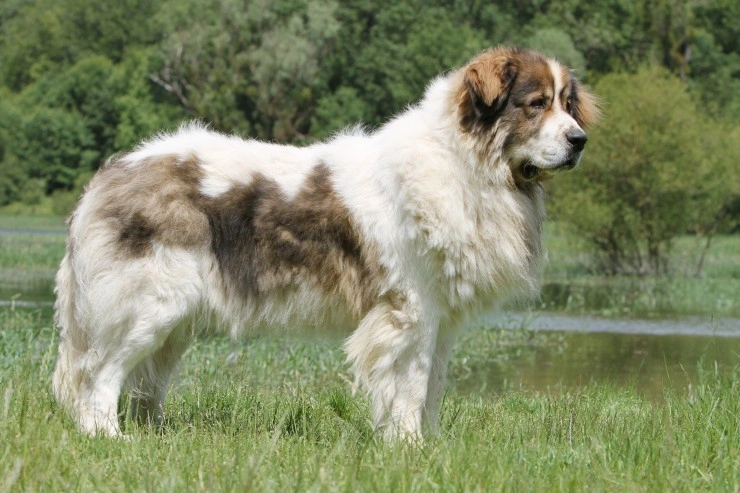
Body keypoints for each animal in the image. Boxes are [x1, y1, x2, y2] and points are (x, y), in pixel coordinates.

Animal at [52, 46, 600, 438]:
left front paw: (428, 447)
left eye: (567, 105)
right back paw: (108, 437)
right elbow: (411, 386)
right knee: (98, 372)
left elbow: (432, 389)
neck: (468, 164)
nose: (579, 141)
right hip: (149, 304)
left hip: (174, 322)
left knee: (144, 381)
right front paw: (408, 448)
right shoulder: (411, 311)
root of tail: (112, 172)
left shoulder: (440, 320)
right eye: (535, 105)